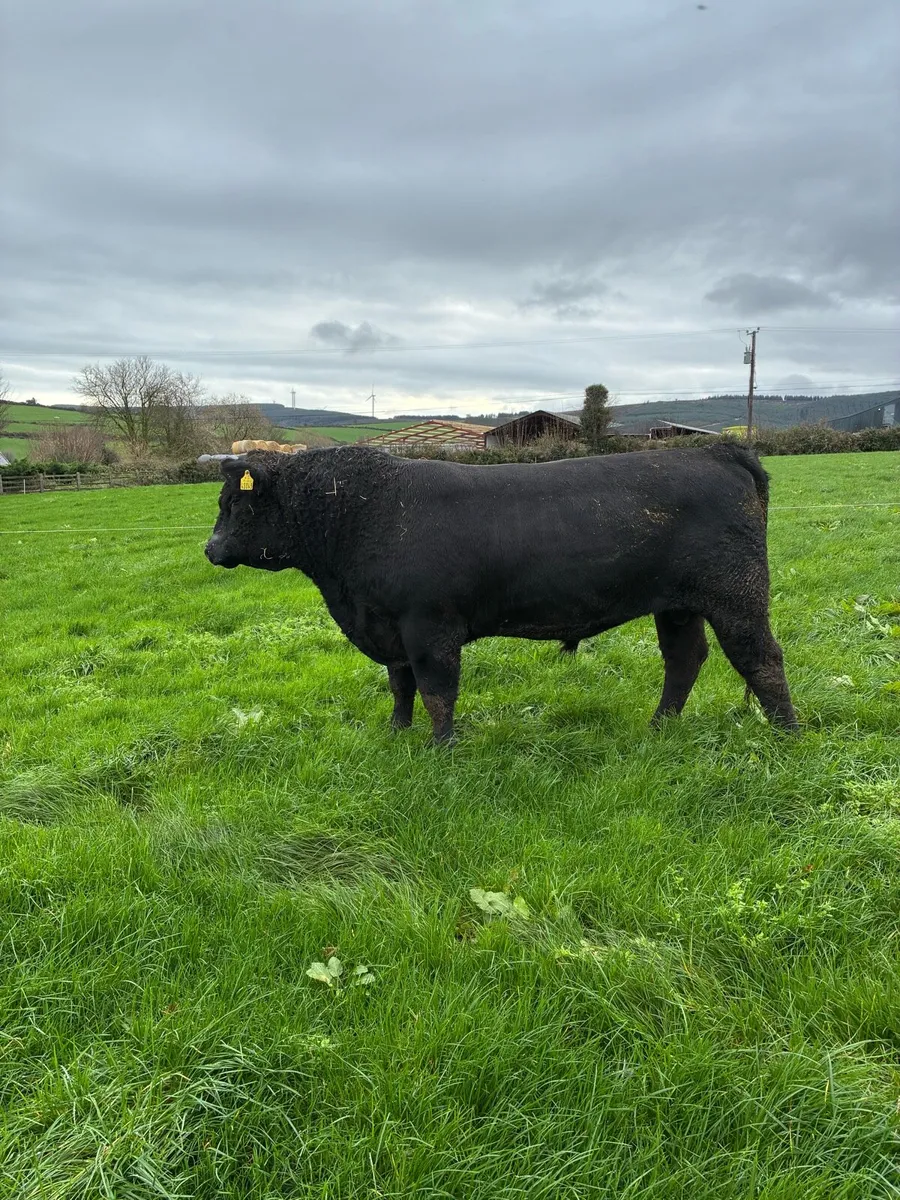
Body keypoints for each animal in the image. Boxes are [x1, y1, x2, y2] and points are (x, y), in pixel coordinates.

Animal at [204, 443, 797, 743]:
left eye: (236, 503)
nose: (210, 549)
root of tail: (716, 450)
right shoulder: (388, 626)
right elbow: (399, 686)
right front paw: (396, 734)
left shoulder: (429, 627)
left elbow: (437, 691)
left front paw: (440, 748)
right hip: (676, 605)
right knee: (684, 659)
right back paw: (659, 727)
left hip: (737, 595)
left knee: (761, 659)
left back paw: (788, 736)